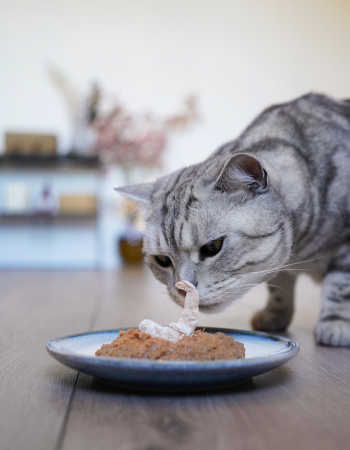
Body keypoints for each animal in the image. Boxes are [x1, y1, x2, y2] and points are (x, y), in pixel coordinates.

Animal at [116, 94, 350, 348]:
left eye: (212, 247)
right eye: (162, 260)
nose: (183, 291)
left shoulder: (346, 248)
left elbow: (340, 284)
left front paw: (336, 323)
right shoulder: (282, 268)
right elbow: (279, 288)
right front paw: (275, 315)